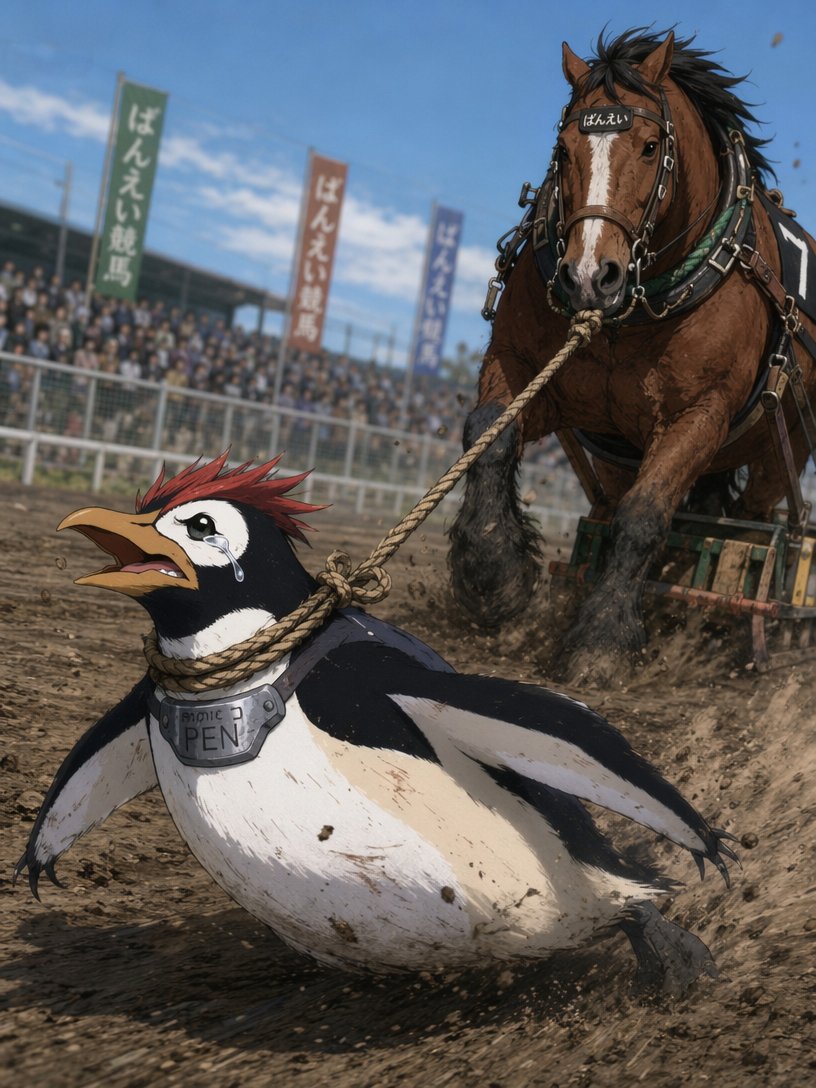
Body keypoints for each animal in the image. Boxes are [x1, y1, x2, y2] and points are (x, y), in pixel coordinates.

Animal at [448, 27, 816, 684]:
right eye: (563, 148)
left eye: (649, 147)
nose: (589, 277)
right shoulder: (529, 372)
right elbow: (488, 436)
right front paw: (493, 577)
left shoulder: (701, 414)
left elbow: (645, 514)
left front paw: (601, 640)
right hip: (618, 452)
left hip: (785, 450)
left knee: (753, 527)